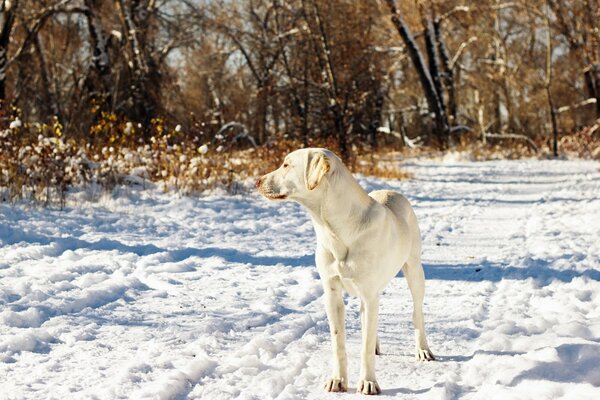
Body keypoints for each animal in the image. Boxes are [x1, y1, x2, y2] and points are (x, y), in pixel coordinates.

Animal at [255, 148, 434, 396]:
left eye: (286, 165)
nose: (256, 181)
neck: (335, 229)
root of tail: (392, 191)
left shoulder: (369, 294)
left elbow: (365, 348)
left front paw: (368, 382)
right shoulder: (333, 294)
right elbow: (338, 342)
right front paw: (337, 380)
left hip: (414, 271)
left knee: (416, 312)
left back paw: (422, 349)